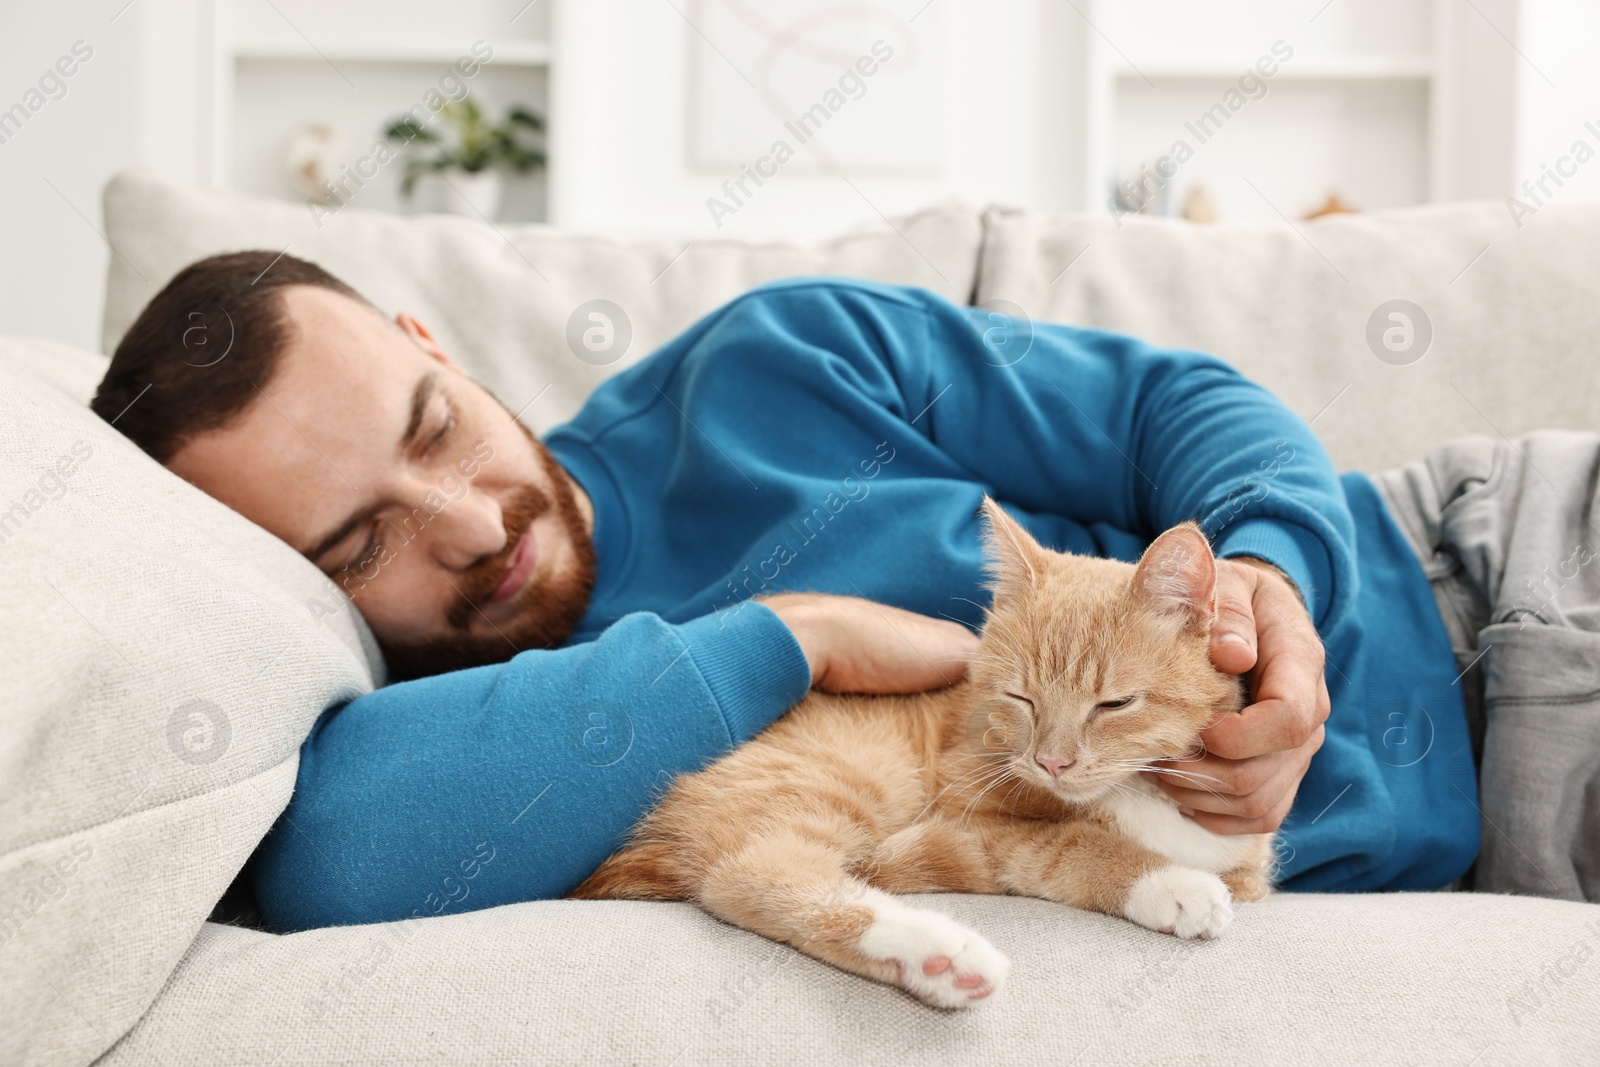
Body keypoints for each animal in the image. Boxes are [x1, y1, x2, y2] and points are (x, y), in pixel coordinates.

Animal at [569, 495, 1280, 1004]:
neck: (1139, 790)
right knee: (752, 873)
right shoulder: (978, 824)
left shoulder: (1249, 865)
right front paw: (1172, 884)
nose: (1050, 762)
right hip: (849, 775)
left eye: (1114, 704)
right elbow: (1074, 845)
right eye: (1021, 699)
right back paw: (939, 953)